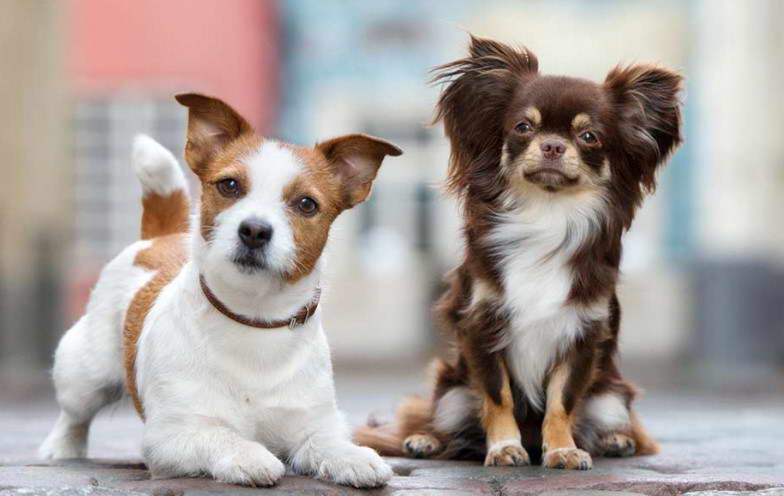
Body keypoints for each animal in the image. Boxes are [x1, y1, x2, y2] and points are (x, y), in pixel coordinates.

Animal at [356, 36, 680, 470]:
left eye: (589, 137)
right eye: (523, 127)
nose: (553, 145)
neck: (547, 213)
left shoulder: (581, 335)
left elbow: (562, 401)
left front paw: (562, 450)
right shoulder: (481, 325)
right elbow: (498, 396)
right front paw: (505, 448)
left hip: (611, 396)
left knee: (620, 425)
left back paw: (616, 439)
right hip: (452, 392)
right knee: (447, 425)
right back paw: (426, 440)